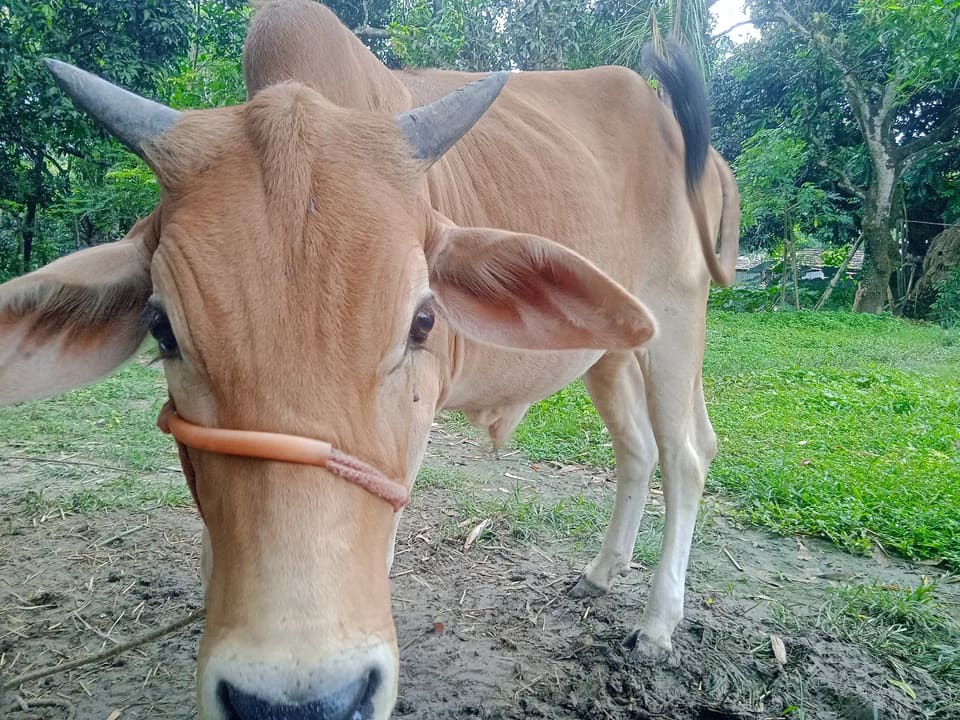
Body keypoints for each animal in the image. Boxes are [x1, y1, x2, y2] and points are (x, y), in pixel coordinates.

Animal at [0, 1, 739, 718]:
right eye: (162, 329)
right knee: (638, 448)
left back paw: (657, 624)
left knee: (686, 454)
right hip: (610, 350)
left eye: (422, 321)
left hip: (676, 317)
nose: (300, 704)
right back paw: (602, 572)